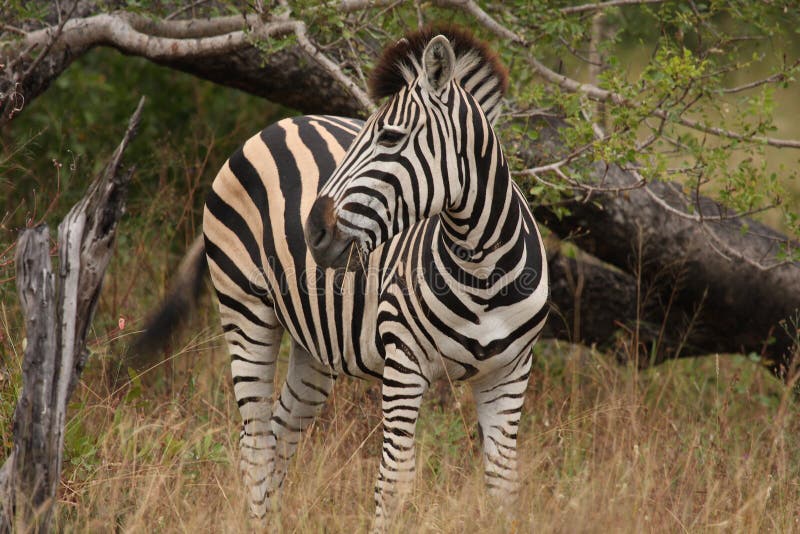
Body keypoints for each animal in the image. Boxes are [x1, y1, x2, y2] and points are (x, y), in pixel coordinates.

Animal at [138, 26, 552, 532]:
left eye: (391, 137)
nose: (313, 231)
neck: (484, 274)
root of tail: (277, 125)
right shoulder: (404, 362)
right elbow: (394, 480)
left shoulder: (509, 373)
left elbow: (503, 482)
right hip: (245, 310)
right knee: (255, 442)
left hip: (315, 344)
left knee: (280, 434)